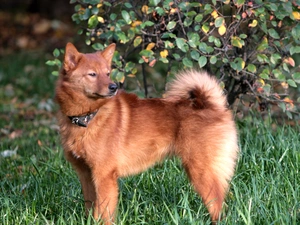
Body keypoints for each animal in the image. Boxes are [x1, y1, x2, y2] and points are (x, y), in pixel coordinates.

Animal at [55, 43, 239, 224]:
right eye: (92, 74)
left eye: (107, 73)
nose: (114, 87)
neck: (88, 117)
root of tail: (213, 107)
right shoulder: (86, 175)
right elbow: (90, 208)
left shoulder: (104, 176)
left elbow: (104, 213)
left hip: (201, 171)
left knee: (218, 205)